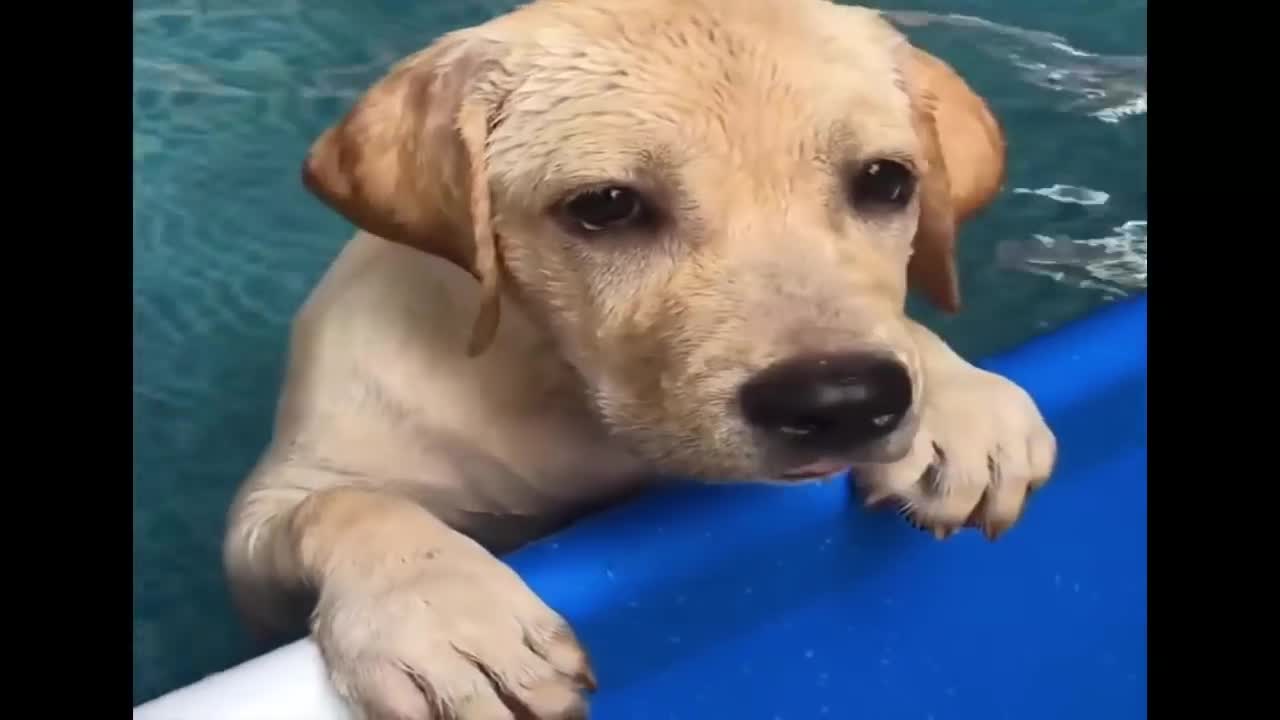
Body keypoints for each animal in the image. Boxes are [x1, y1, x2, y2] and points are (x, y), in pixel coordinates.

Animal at [225, 2, 1054, 712]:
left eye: (886, 181)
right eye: (607, 206)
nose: (841, 402)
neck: (562, 394)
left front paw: (961, 403)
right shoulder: (261, 542)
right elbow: (347, 503)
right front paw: (443, 613)